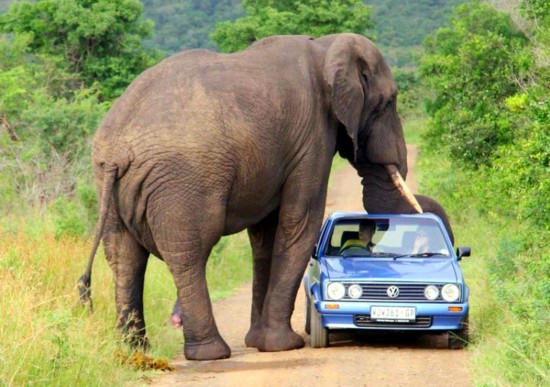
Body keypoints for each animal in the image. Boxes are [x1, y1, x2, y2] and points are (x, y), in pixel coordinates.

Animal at [77, 31, 432, 362]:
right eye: (389, 101)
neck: (325, 46)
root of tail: (117, 150)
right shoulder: (313, 137)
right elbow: (300, 222)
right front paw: (284, 346)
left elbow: (265, 237)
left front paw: (258, 342)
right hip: (183, 181)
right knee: (189, 254)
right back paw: (210, 354)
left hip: (107, 183)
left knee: (125, 258)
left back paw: (134, 352)